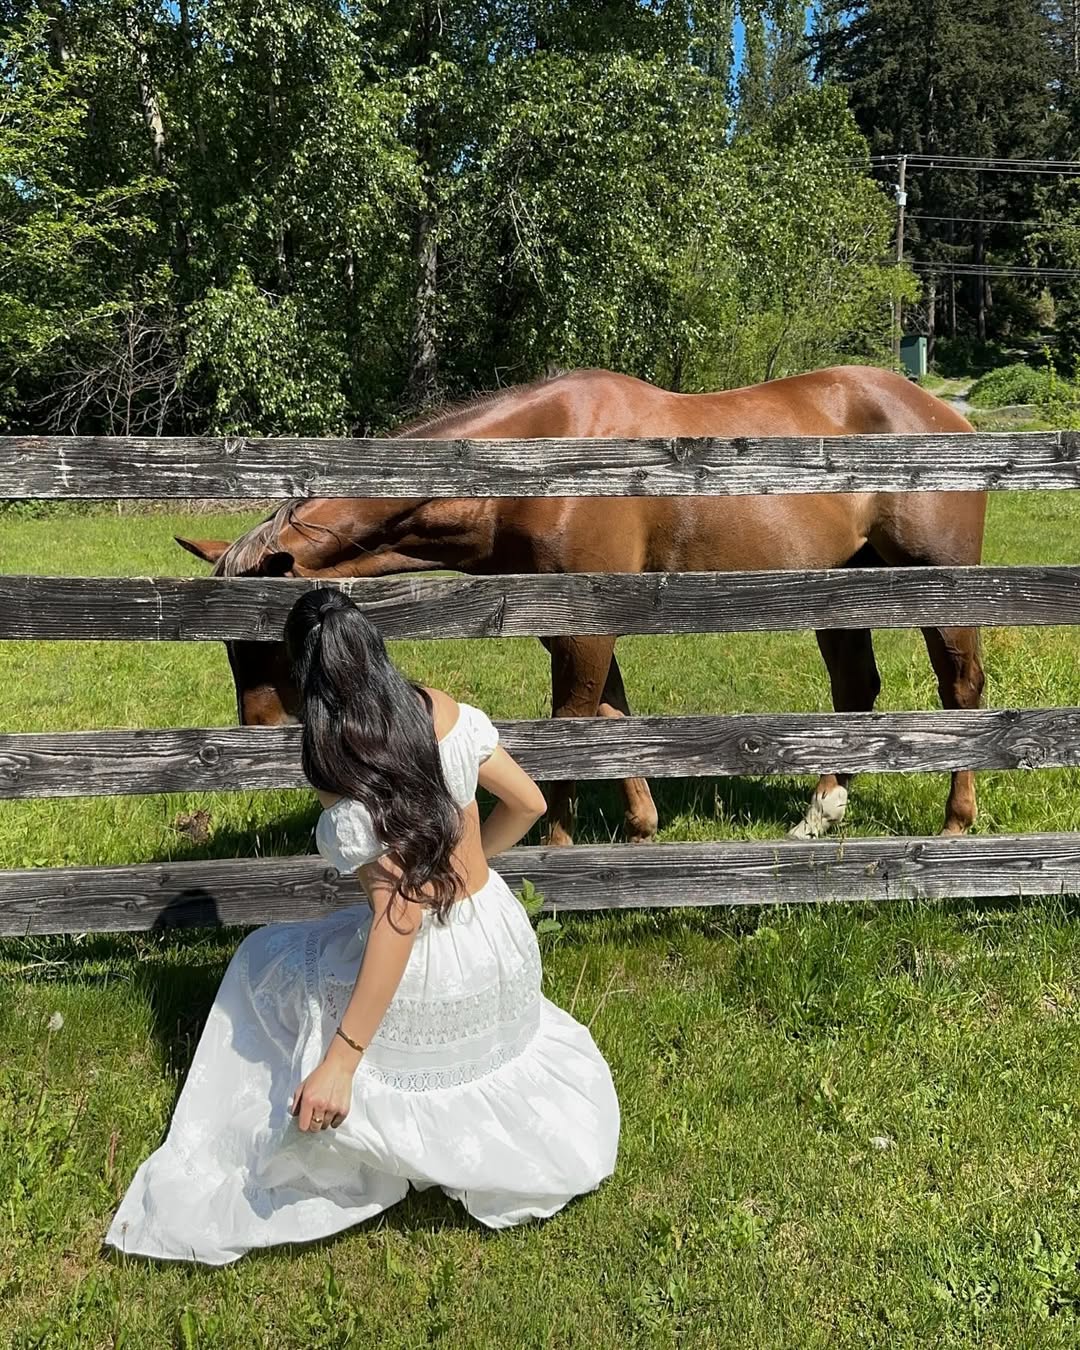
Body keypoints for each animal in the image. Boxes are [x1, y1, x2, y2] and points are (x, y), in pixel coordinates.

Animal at [177, 365, 986, 846]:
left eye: (272, 640)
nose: (256, 738)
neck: (540, 463)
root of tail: (947, 418)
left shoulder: (582, 627)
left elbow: (569, 729)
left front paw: (557, 846)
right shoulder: (576, 623)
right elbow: (609, 720)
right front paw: (641, 827)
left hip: (938, 589)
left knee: (961, 691)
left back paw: (955, 823)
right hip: (840, 588)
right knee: (856, 690)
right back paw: (821, 814)